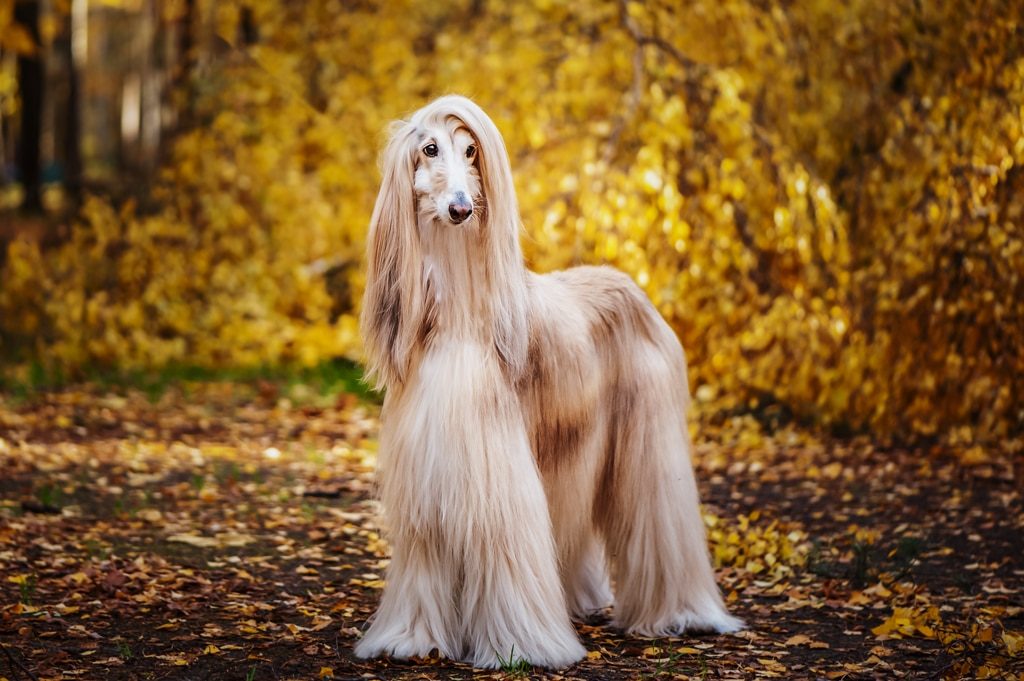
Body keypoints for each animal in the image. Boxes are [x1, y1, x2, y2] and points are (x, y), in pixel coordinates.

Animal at [356, 95, 741, 667]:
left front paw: (520, 646)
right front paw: (411, 639)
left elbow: (507, 544)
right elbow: (424, 552)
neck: (458, 317)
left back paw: (682, 613)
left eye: (471, 151)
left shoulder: (495, 470)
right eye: (429, 149)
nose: (462, 208)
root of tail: (628, 282)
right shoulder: (426, 467)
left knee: (661, 517)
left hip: (649, 439)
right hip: (569, 450)